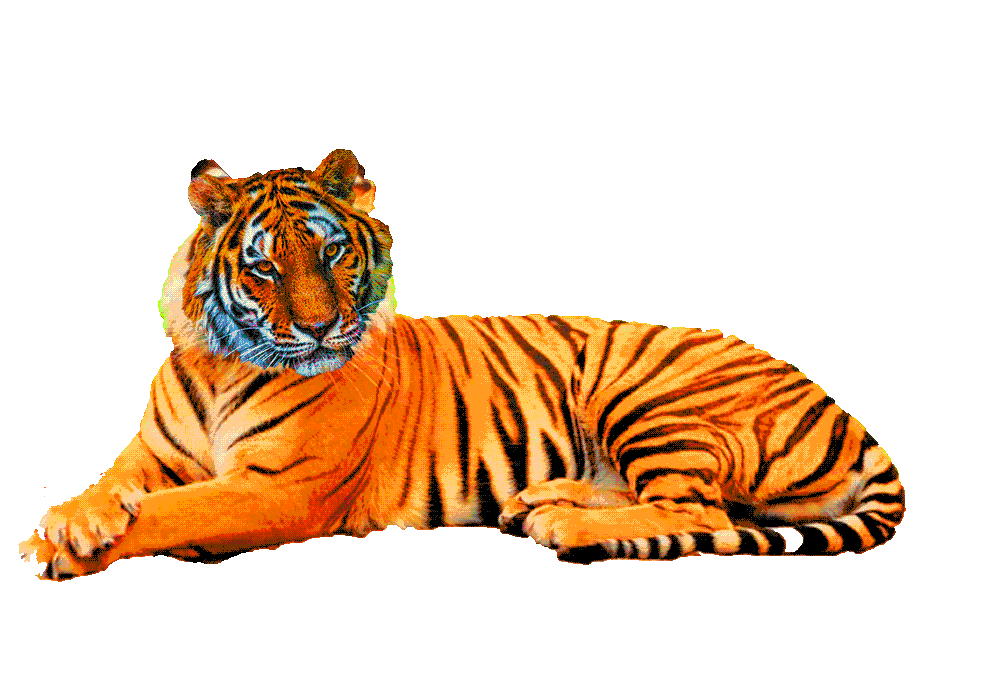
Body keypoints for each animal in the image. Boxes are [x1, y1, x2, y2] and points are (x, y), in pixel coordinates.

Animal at [19, 149, 904, 580]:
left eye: (333, 252)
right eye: (264, 267)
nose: (320, 329)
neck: (218, 365)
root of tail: (839, 405)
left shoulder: (283, 487)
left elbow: (179, 510)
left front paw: (73, 545)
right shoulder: (149, 454)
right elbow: (112, 484)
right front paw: (66, 521)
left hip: (643, 388)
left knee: (700, 508)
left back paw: (560, 521)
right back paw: (542, 497)